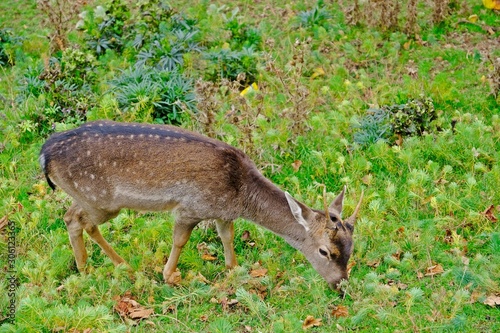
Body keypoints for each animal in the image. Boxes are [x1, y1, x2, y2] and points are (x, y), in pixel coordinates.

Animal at [37, 120, 362, 290]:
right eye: (325, 251)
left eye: (351, 249)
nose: (341, 285)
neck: (240, 194)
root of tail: (44, 154)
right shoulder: (191, 207)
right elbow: (180, 240)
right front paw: (171, 276)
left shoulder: (222, 213)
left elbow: (227, 237)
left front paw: (233, 268)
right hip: (99, 198)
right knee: (74, 218)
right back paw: (89, 269)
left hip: (94, 200)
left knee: (78, 219)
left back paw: (112, 265)